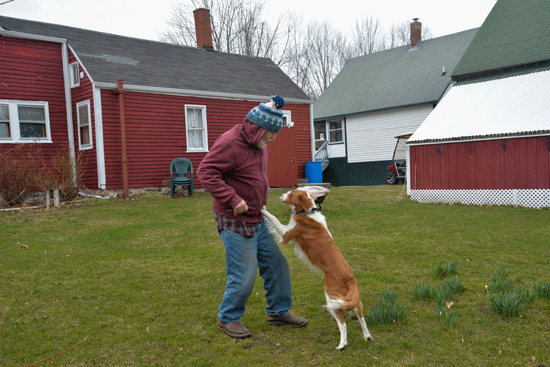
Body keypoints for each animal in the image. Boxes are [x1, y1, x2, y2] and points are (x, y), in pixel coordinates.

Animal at [260, 190, 374, 350]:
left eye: (291, 193)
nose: (280, 195)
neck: (307, 212)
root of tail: (350, 277)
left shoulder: (287, 233)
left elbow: (273, 218)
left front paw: (262, 209)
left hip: (332, 299)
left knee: (343, 324)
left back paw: (342, 344)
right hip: (352, 301)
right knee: (362, 318)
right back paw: (367, 336)